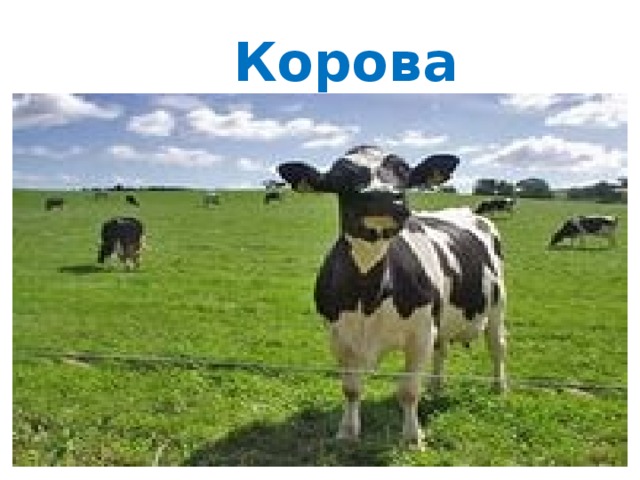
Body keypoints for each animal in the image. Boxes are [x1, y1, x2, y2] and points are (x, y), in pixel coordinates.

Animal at [278, 145, 507, 449]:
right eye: (340, 177)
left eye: (405, 172)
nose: (382, 196)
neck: (368, 295)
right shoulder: (338, 337)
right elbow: (351, 389)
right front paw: (347, 431)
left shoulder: (420, 334)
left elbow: (408, 390)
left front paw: (413, 438)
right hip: (442, 319)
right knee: (442, 349)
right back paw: (437, 386)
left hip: (497, 307)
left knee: (497, 347)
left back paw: (499, 387)